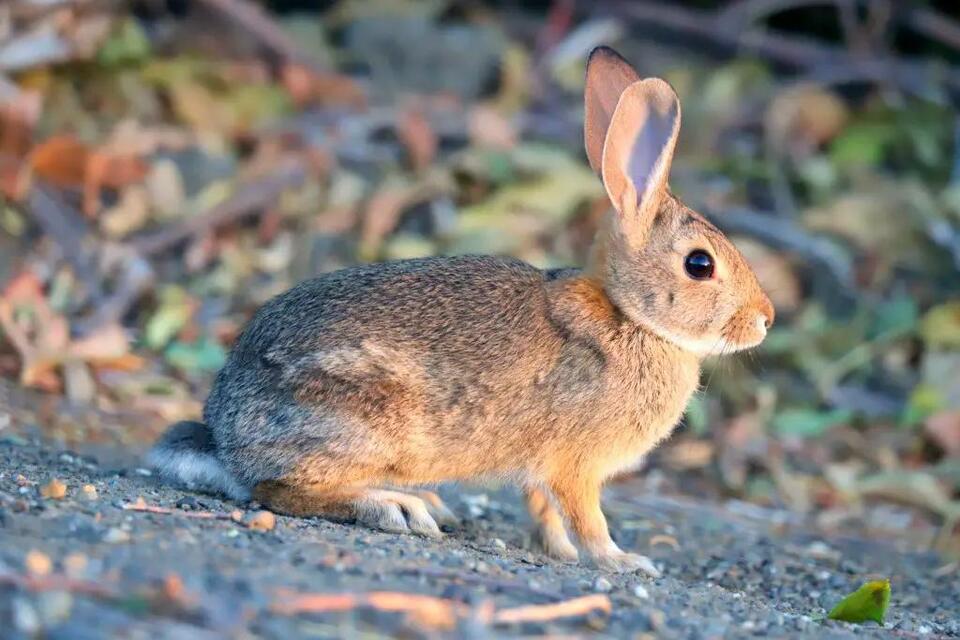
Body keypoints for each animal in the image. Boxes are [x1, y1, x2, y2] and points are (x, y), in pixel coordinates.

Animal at [148, 46, 774, 575]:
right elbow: (587, 516)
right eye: (699, 264)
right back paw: (394, 507)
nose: (765, 318)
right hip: (359, 418)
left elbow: (543, 509)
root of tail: (224, 436)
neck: (631, 317)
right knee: (277, 491)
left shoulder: (539, 469)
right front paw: (622, 562)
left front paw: (561, 553)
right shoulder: (575, 465)